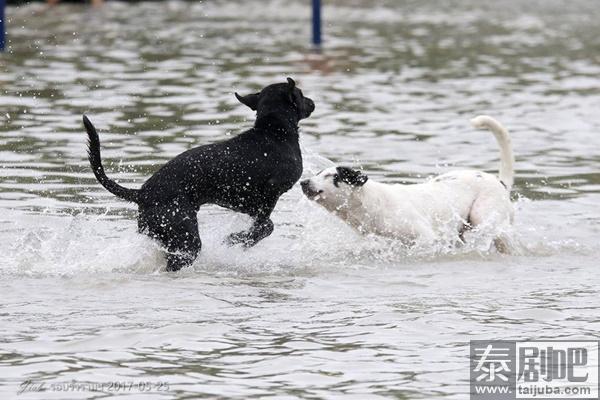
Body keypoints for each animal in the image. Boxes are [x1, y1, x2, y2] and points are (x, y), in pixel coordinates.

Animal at [86, 77, 316, 272]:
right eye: (301, 94)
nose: (312, 102)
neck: (274, 131)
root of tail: (142, 193)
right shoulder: (267, 196)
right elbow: (267, 226)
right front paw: (237, 239)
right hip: (185, 235)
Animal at [300, 115, 516, 250]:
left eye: (332, 177)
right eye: (318, 173)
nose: (303, 182)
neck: (370, 204)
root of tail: (499, 182)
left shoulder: (427, 238)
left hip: (484, 217)